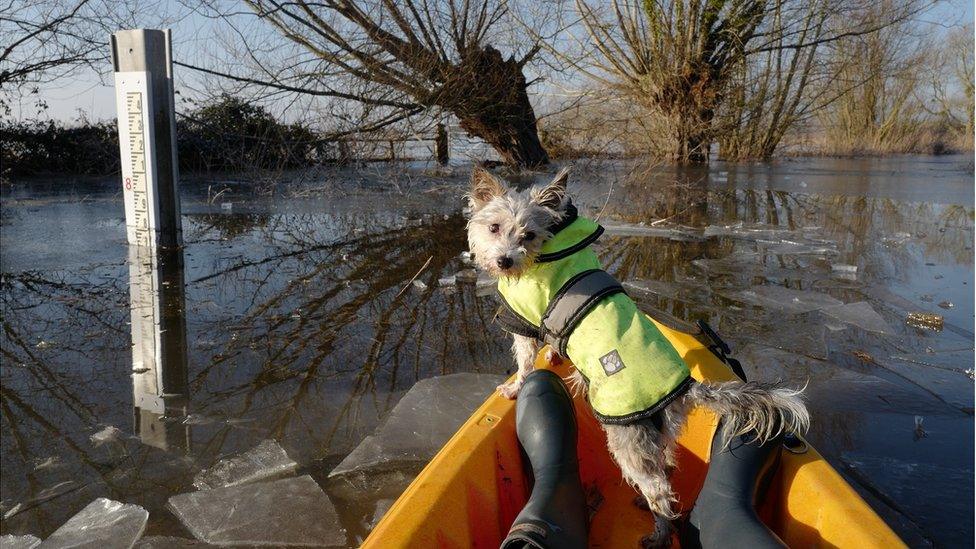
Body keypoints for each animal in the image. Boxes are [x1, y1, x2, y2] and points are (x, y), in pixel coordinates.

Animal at [466, 166, 808, 544]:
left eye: (528, 235)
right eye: (494, 227)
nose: (504, 261)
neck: (554, 243)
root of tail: (687, 388)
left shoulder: (521, 321)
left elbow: (525, 363)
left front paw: (515, 389)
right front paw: (554, 358)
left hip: (627, 438)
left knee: (659, 488)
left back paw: (658, 533)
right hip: (661, 434)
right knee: (667, 466)